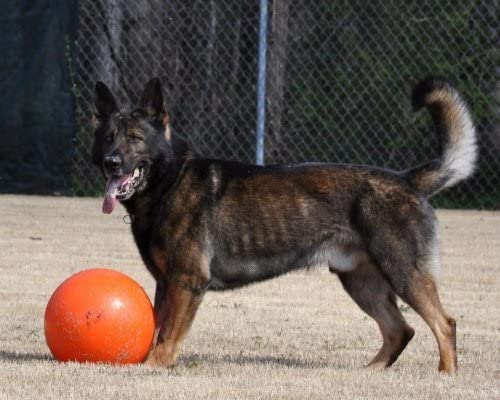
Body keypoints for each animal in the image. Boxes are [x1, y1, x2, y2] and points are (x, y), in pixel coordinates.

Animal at [91, 77, 476, 372]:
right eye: (108, 137)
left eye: (135, 138)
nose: (111, 162)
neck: (169, 181)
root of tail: (407, 180)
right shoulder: (165, 284)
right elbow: (157, 328)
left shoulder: (186, 282)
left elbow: (168, 334)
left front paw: (154, 367)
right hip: (361, 282)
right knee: (401, 330)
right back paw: (373, 371)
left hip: (402, 272)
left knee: (444, 324)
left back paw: (446, 375)